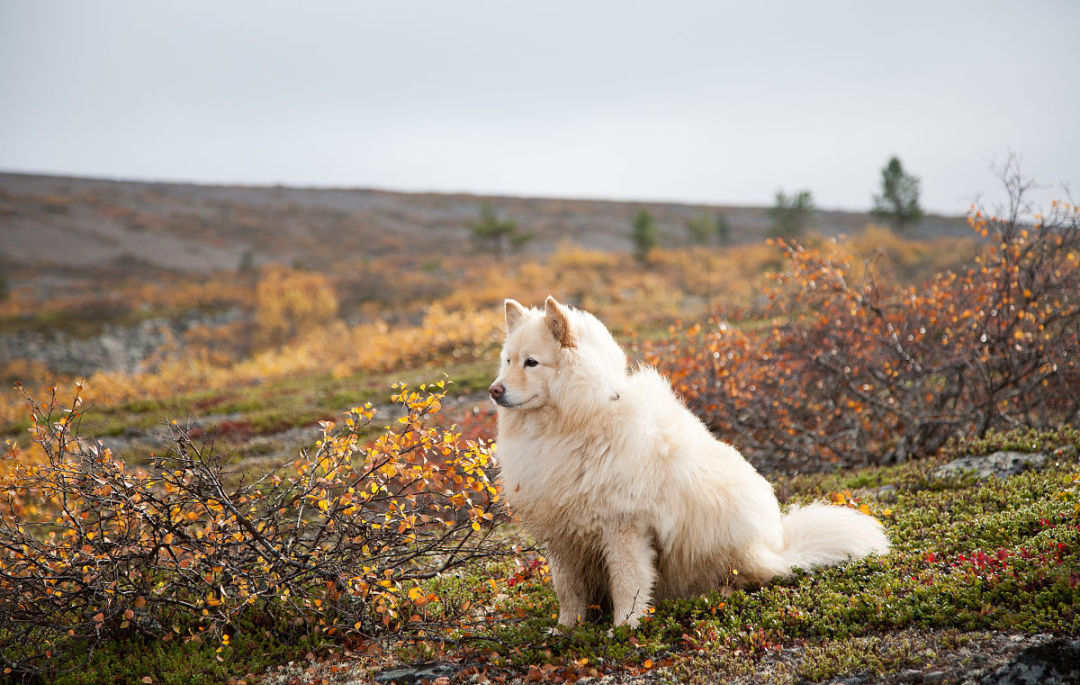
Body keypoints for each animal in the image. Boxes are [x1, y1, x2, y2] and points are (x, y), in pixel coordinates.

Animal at [490, 293, 885, 622]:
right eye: (508, 361)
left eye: (531, 363)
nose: (494, 390)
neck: (576, 421)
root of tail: (781, 549)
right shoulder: (562, 536)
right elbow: (567, 590)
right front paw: (566, 630)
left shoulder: (623, 528)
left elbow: (628, 584)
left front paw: (624, 628)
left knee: (747, 578)